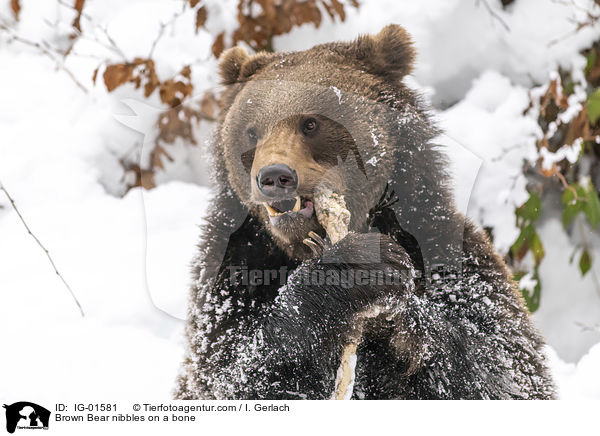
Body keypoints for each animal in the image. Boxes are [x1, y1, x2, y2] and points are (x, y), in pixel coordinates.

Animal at [175, 23, 556, 398]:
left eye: (311, 123)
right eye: (252, 131)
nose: (274, 176)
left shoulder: (450, 253)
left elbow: (502, 365)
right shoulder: (230, 277)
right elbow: (232, 374)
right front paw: (354, 268)